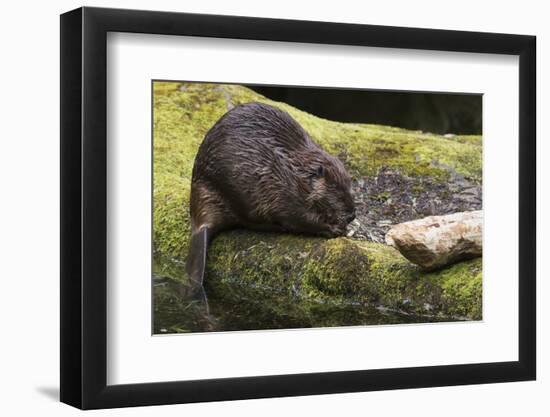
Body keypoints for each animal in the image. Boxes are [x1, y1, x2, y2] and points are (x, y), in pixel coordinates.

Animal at [187, 103, 358, 292]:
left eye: (350, 185)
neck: (296, 172)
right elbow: (300, 218)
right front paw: (336, 229)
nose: (352, 215)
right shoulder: (280, 189)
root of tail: (200, 225)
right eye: (336, 189)